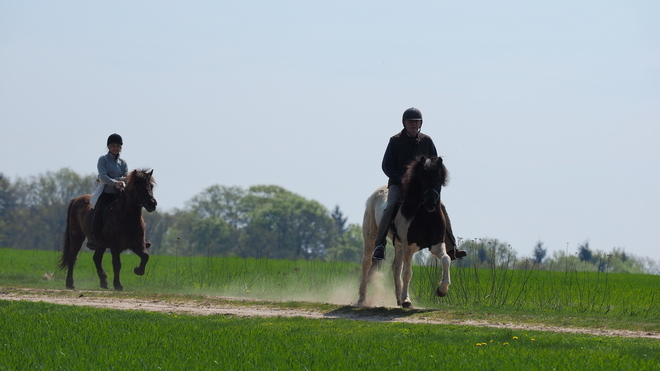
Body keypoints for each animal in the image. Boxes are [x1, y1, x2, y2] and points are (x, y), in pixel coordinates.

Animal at [358, 157, 452, 308]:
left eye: (438, 179)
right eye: (422, 178)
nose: (431, 203)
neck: (425, 216)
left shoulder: (437, 245)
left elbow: (446, 259)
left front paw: (442, 290)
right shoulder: (409, 247)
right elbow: (407, 273)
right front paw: (407, 300)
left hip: (398, 244)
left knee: (396, 267)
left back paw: (398, 299)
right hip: (370, 237)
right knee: (366, 264)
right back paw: (361, 299)